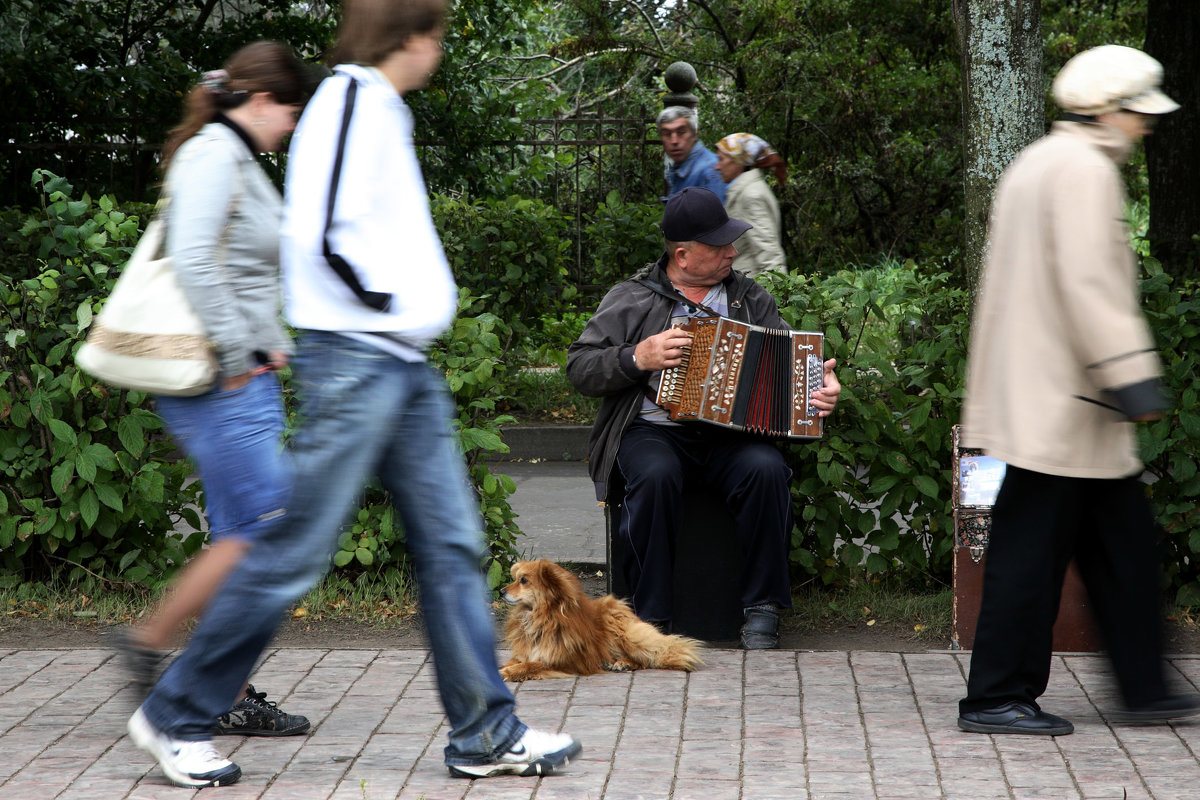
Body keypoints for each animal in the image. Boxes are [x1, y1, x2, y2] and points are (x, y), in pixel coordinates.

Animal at [496, 556, 700, 681]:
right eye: (516, 578)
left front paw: (507, 672)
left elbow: (529, 666)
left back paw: (624, 663)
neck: (541, 616)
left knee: (647, 658)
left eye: (523, 580)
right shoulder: (524, 653)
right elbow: (515, 661)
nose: (500, 591)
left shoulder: (562, 662)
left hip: (624, 634)